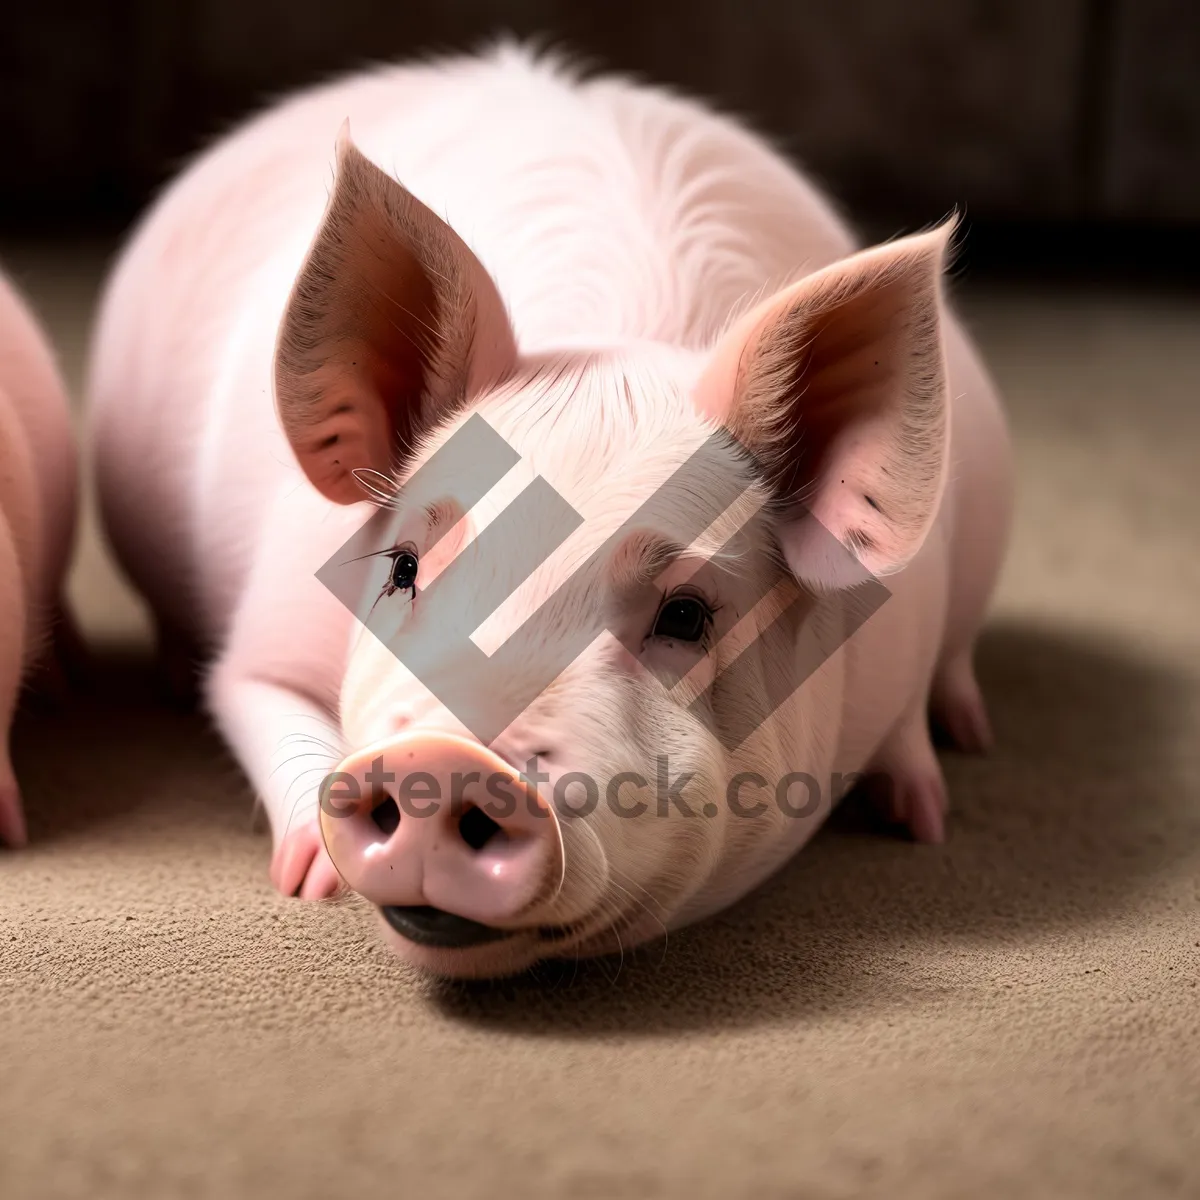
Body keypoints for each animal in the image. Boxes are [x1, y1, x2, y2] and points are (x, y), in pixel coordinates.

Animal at [87, 46, 1012, 979]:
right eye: (404, 569)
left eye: (687, 615)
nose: (445, 760)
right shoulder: (266, 632)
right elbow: (253, 697)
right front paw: (312, 882)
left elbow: (906, 728)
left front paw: (924, 822)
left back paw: (972, 733)